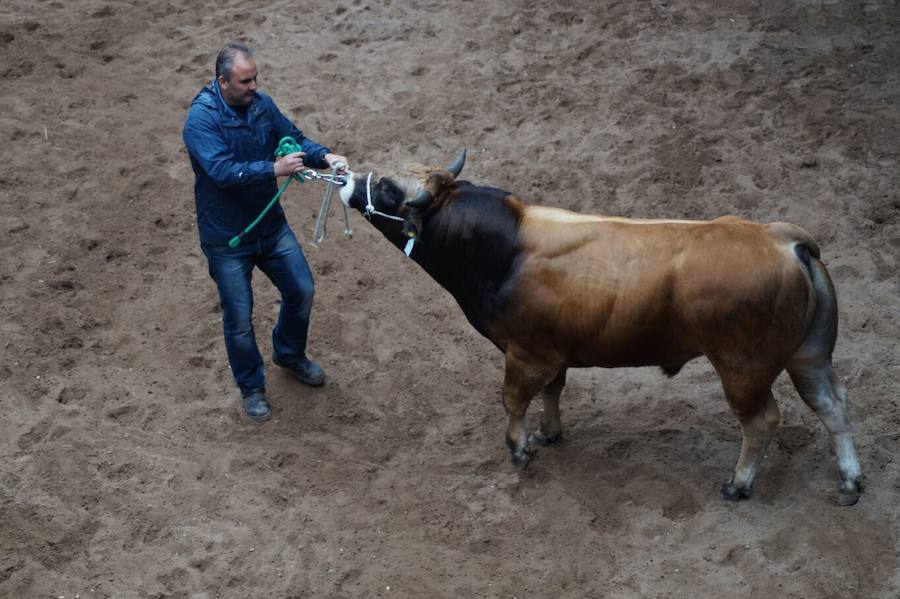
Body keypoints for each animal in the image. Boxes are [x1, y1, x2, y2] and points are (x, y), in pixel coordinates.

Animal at [340, 150, 864, 506]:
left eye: (387, 191)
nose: (346, 178)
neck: (506, 248)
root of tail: (782, 238)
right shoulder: (552, 352)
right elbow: (553, 392)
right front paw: (548, 433)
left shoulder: (525, 353)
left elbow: (514, 400)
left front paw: (520, 448)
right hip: (809, 357)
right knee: (832, 406)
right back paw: (851, 480)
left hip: (743, 370)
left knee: (762, 421)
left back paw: (739, 483)